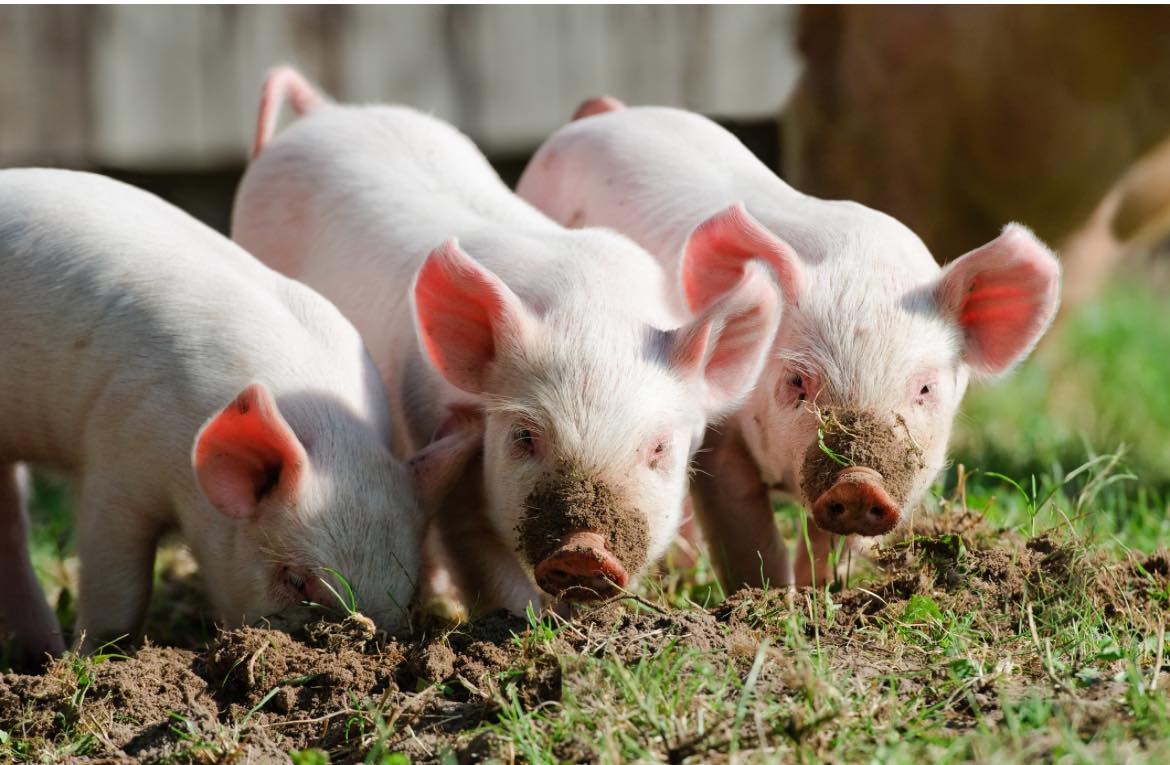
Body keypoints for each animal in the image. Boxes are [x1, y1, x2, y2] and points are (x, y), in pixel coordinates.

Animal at [0, 168, 479, 669]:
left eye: (408, 590)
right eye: (295, 581)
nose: (361, 641)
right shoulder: (117, 465)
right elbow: (118, 590)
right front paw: (91, 661)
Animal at [232, 68, 782, 617]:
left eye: (659, 447)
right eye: (524, 436)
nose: (584, 550)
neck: (591, 317)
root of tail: (326, 112)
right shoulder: (441, 440)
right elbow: (481, 558)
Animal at [517, 100, 1061, 589]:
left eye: (925, 389)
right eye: (797, 380)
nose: (859, 481)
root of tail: (601, 114)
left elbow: (831, 546)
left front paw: (823, 596)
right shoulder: (718, 440)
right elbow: (748, 536)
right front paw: (772, 602)